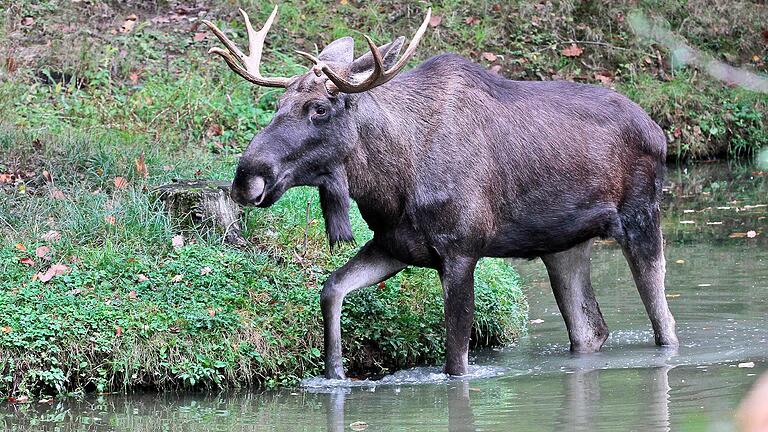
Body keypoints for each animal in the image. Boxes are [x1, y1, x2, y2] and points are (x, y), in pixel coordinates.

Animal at [202, 6, 680, 378]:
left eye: (318, 108)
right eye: (277, 106)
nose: (247, 177)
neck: (390, 185)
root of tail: (660, 133)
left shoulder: (461, 248)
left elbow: (455, 360)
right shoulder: (395, 245)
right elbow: (331, 289)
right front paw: (334, 373)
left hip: (641, 216)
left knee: (665, 322)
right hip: (562, 244)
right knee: (590, 329)